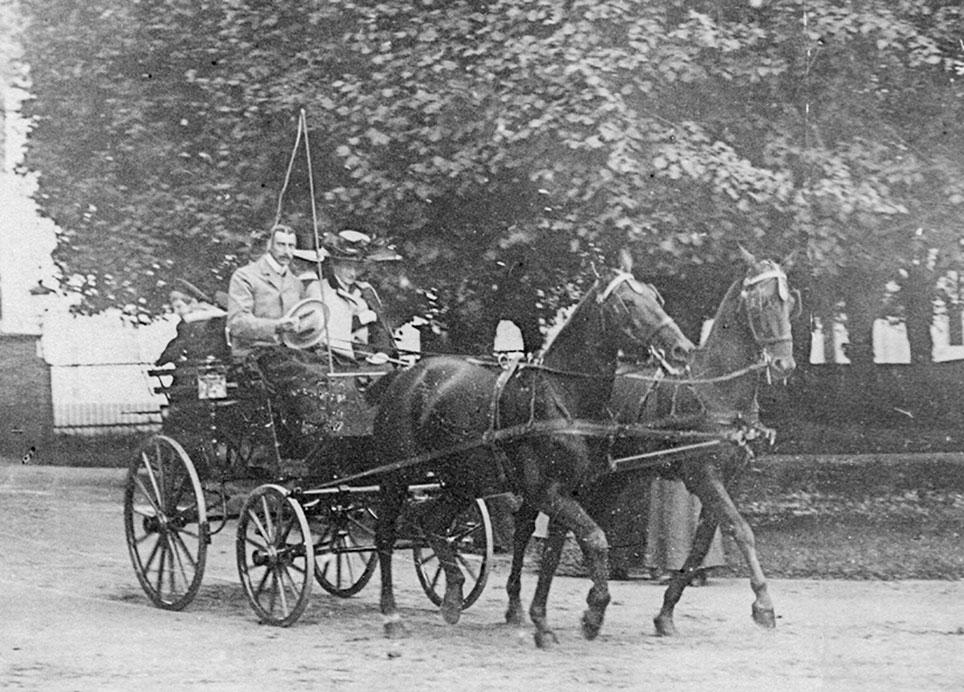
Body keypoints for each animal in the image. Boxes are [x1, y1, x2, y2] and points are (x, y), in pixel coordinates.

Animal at [370, 268, 692, 640]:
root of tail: (406, 375)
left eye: (657, 298)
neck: (563, 397)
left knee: (430, 522)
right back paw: (391, 614)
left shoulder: (567, 493)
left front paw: (541, 620)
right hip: (396, 476)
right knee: (386, 535)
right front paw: (593, 614)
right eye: (627, 302)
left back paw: (452, 597)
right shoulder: (547, 493)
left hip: (462, 482)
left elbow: (552, 555)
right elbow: (595, 539)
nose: (682, 349)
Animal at [504, 249, 800, 644]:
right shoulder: (704, 476)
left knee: (567, 527)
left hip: (604, 478)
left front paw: (665, 612)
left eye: (789, 303)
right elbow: (742, 530)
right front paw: (764, 605)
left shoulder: (721, 480)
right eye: (761, 302)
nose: (784, 364)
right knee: (525, 524)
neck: (713, 387)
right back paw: (518, 605)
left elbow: (700, 547)